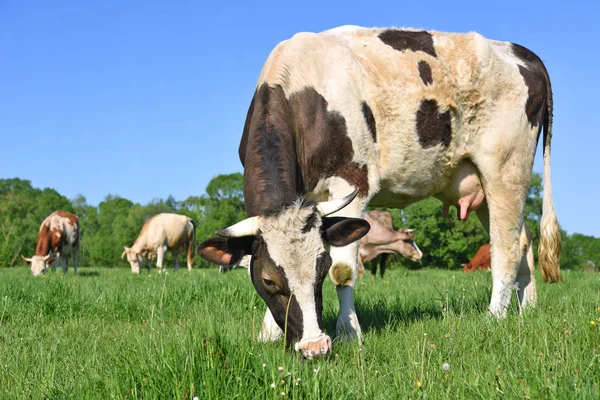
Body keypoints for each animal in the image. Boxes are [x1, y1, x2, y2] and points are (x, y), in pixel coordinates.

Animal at [198, 26, 564, 358]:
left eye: (321, 269)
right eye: (269, 280)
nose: (314, 347)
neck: (301, 90)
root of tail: (517, 50)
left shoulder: (352, 183)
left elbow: (345, 271)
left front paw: (348, 333)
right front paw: (268, 334)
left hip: (505, 171)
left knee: (505, 247)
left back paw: (495, 316)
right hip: (483, 186)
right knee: (523, 241)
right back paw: (527, 311)